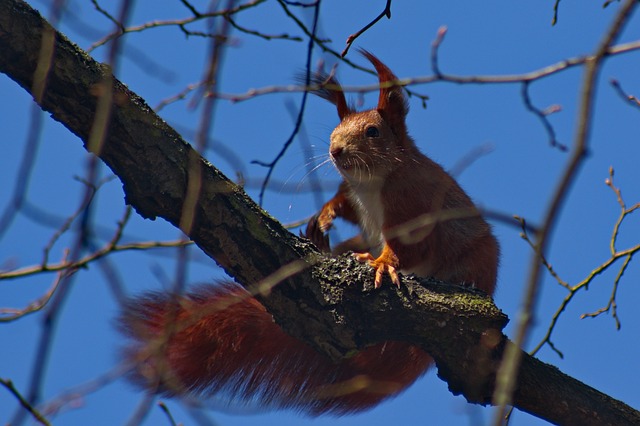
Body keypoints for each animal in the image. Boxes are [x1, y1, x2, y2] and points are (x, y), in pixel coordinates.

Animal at [118, 51, 499, 415]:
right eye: (335, 128)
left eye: (373, 132)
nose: (335, 149)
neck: (373, 182)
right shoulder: (356, 198)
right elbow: (345, 207)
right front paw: (326, 216)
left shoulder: (414, 205)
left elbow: (408, 247)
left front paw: (383, 262)